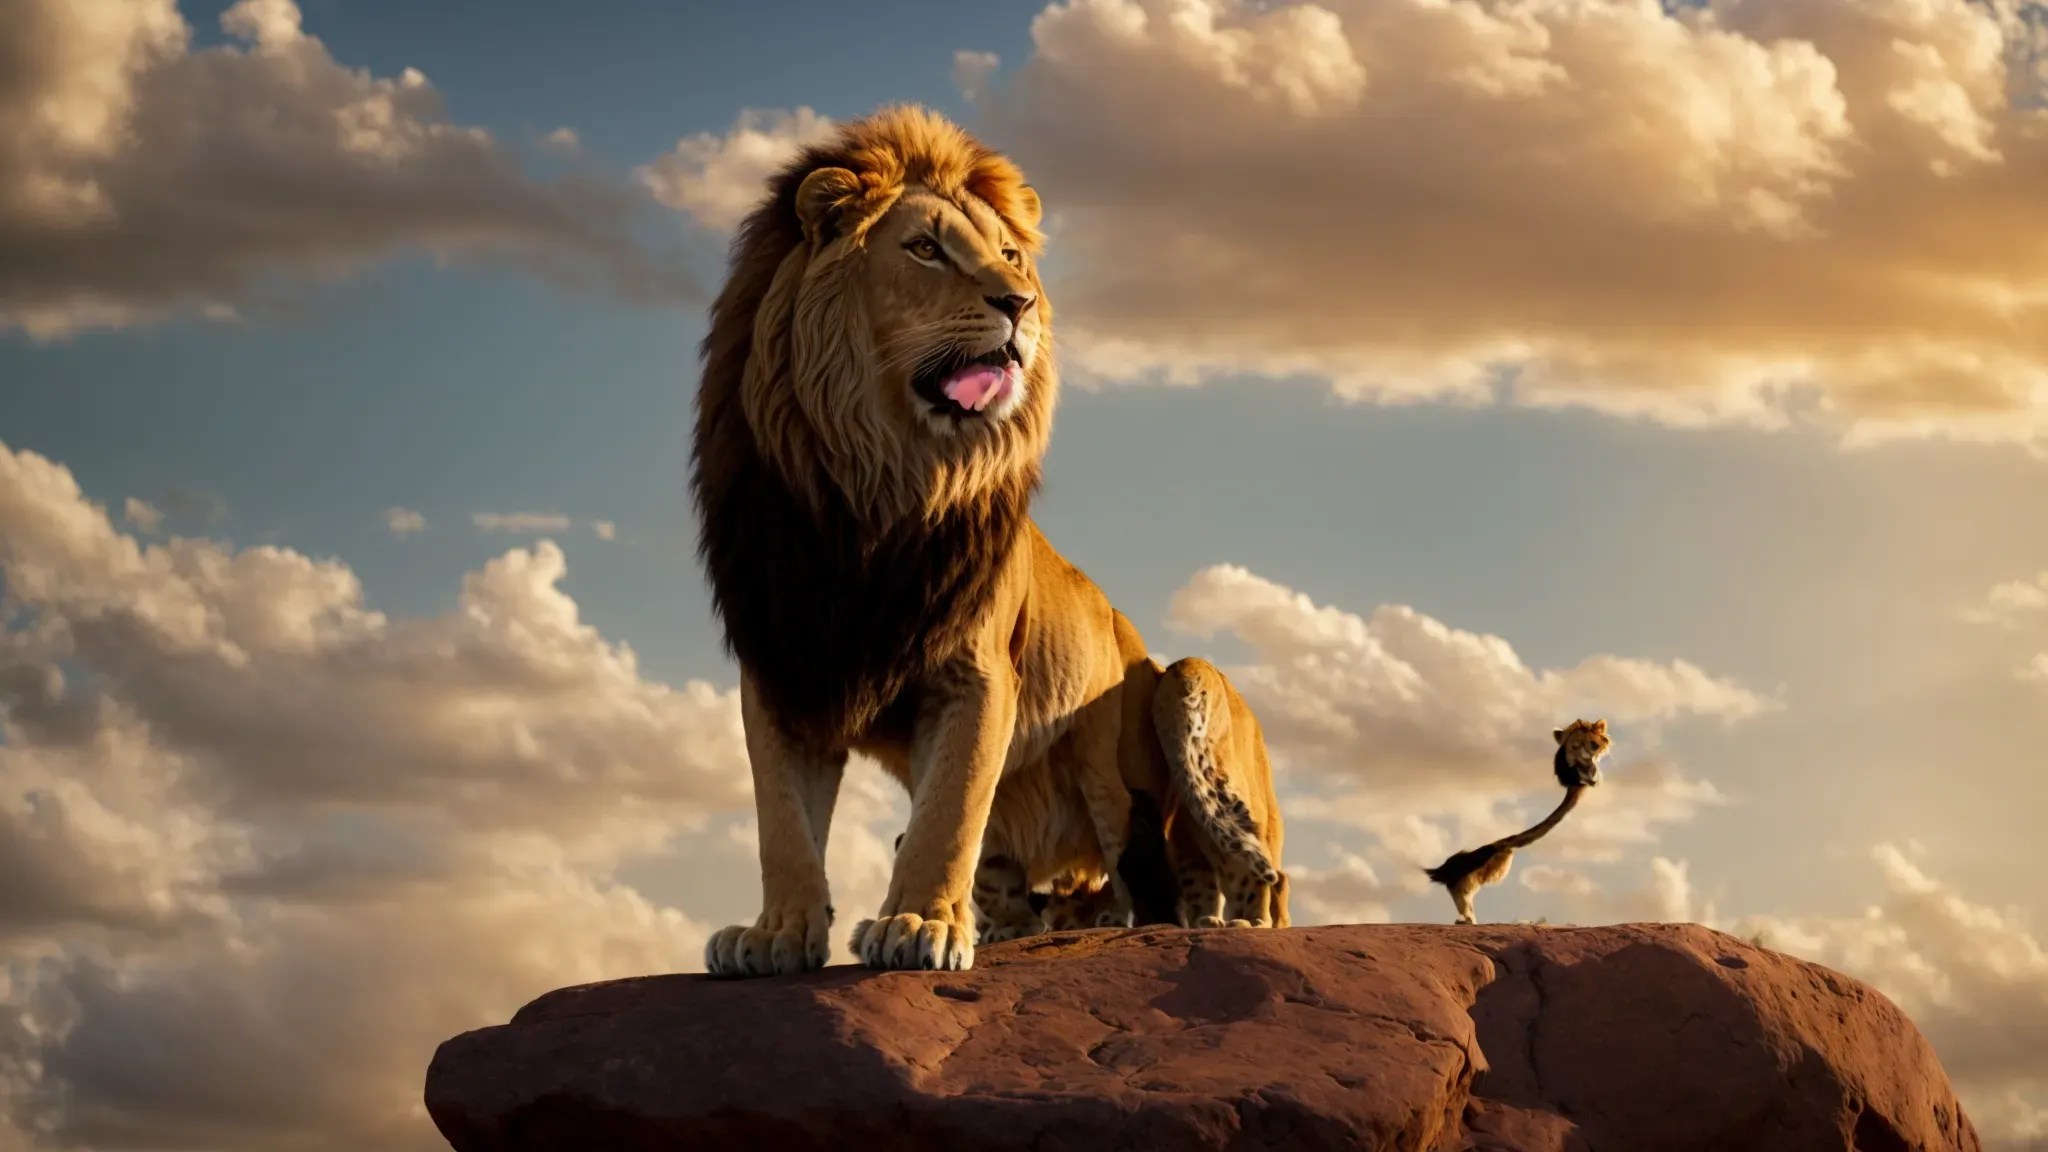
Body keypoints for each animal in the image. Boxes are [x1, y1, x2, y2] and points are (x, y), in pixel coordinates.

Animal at [693, 106, 1162, 977]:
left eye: (1009, 255)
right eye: (924, 249)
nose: (1021, 303)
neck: (878, 487)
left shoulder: (976, 673)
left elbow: (948, 811)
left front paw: (920, 925)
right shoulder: (782, 667)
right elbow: (783, 823)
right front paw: (777, 933)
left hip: (1109, 770)